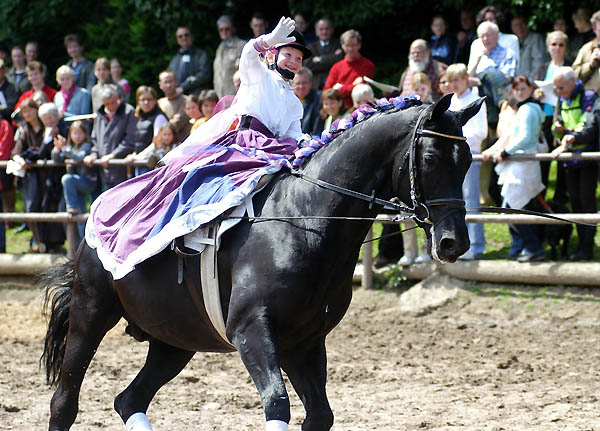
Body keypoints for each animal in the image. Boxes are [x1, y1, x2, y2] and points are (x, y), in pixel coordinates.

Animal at [41, 95, 482, 431]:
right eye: (430, 157)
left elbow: (319, 415)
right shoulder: (252, 329)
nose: (453, 242)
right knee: (65, 402)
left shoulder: (304, 342)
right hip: (91, 314)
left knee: (129, 400)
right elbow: (277, 404)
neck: (306, 220)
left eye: (466, 160)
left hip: (174, 340)